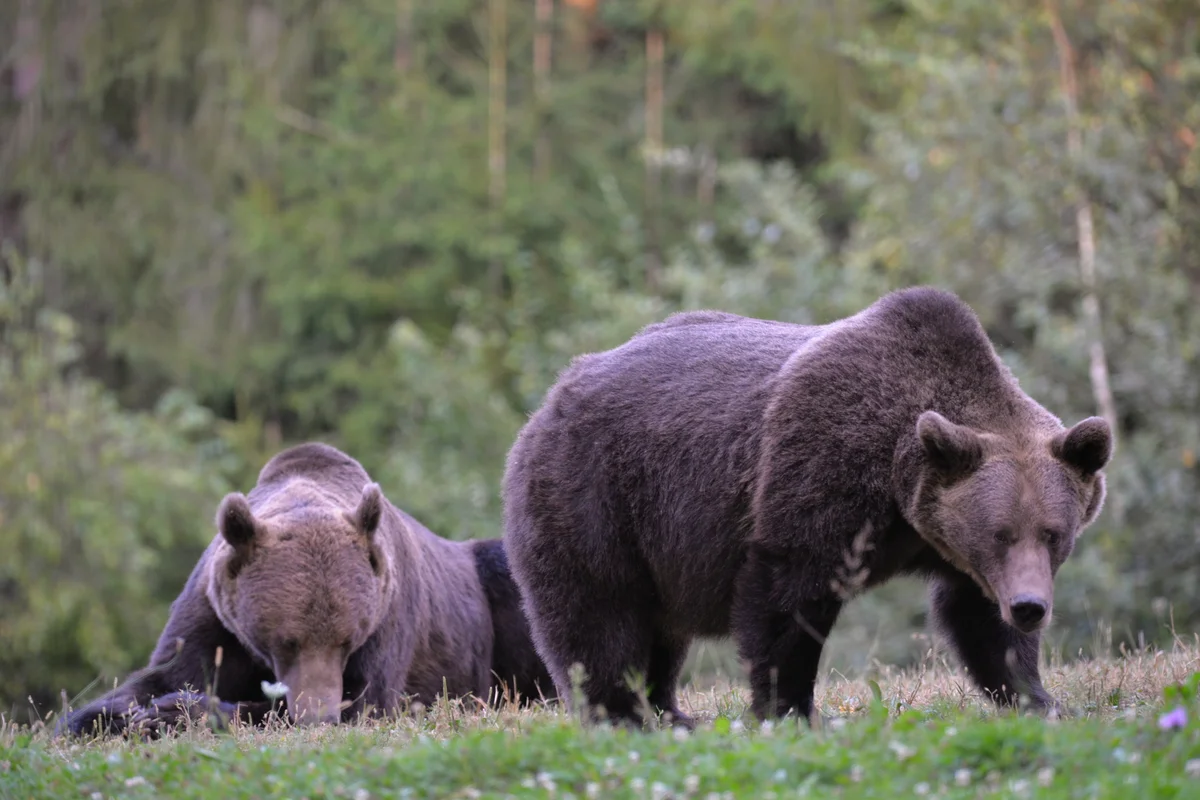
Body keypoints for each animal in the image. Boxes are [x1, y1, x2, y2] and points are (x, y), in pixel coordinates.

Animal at [59, 443, 552, 738]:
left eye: (348, 640)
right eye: (287, 640)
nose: (320, 715)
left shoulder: (389, 621)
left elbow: (367, 702)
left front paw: (178, 711)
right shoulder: (214, 619)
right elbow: (166, 672)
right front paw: (107, 715)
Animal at [501, 286, 1108, 724]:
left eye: (1053, 533)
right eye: (1000, 531)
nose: (1030, 606)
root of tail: (553, 394)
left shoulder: (952, 544)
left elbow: (979, 620)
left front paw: (1038, 697)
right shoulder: (824, 464)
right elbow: (789, 594)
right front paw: (789, 708)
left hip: (659, 548)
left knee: (661, 630)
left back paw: (671, 711)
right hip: (597, 494)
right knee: (599, 612)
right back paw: (620, 713)